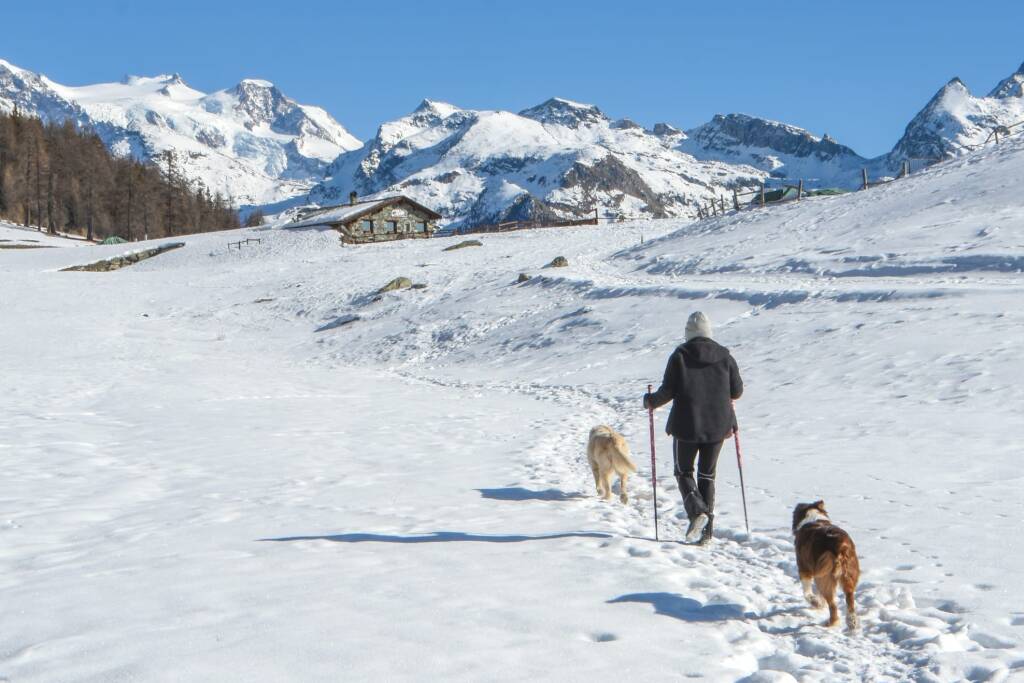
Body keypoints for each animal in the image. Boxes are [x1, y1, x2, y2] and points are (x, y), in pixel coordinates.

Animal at [794, 499, 860, 634]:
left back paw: (830, 623)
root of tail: (840, 546)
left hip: (825, 576)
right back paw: (852, 623)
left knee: (833, 605)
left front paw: (816, 602)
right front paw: (819, 602)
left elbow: (807, 591)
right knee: (849, 598)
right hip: (849, 573)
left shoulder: (804, 568)